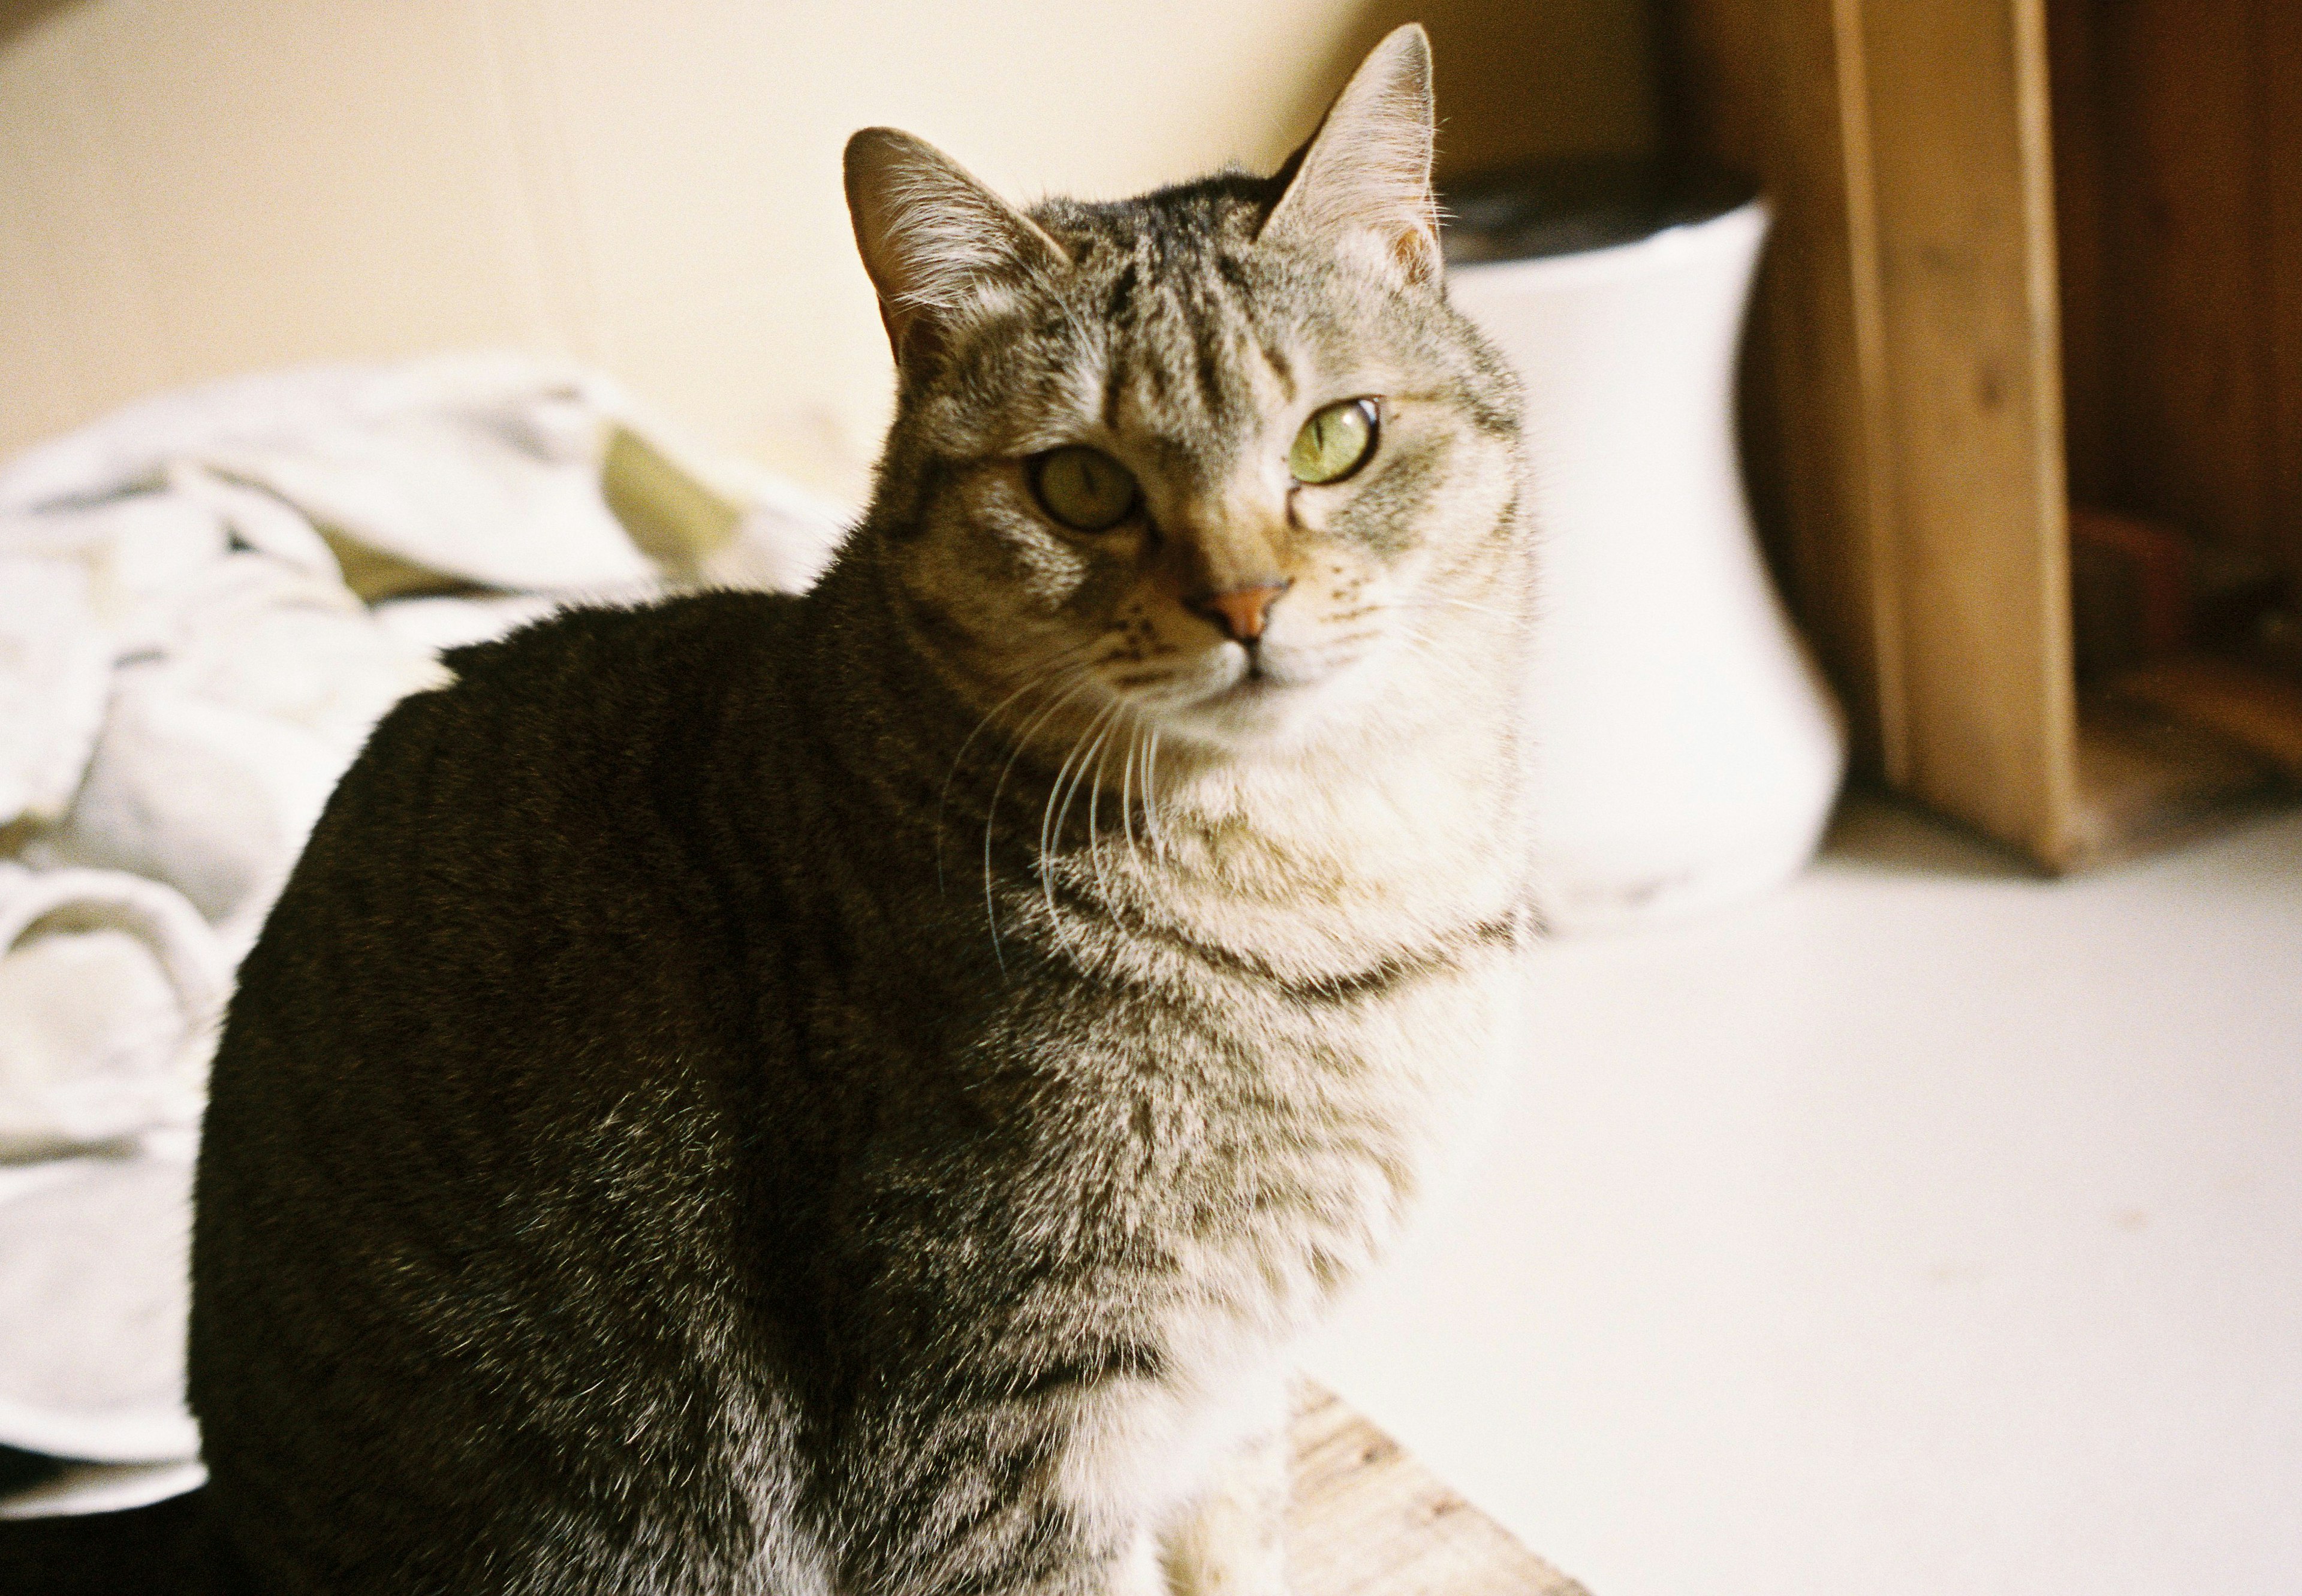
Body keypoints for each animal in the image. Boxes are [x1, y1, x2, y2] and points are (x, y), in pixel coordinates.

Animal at [179, 25, 1538, 1594]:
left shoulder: (1234, 1389)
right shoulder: (984, 1431)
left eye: (1335, 439)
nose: (1245, 602)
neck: (1330, 874)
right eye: (1081, 484)